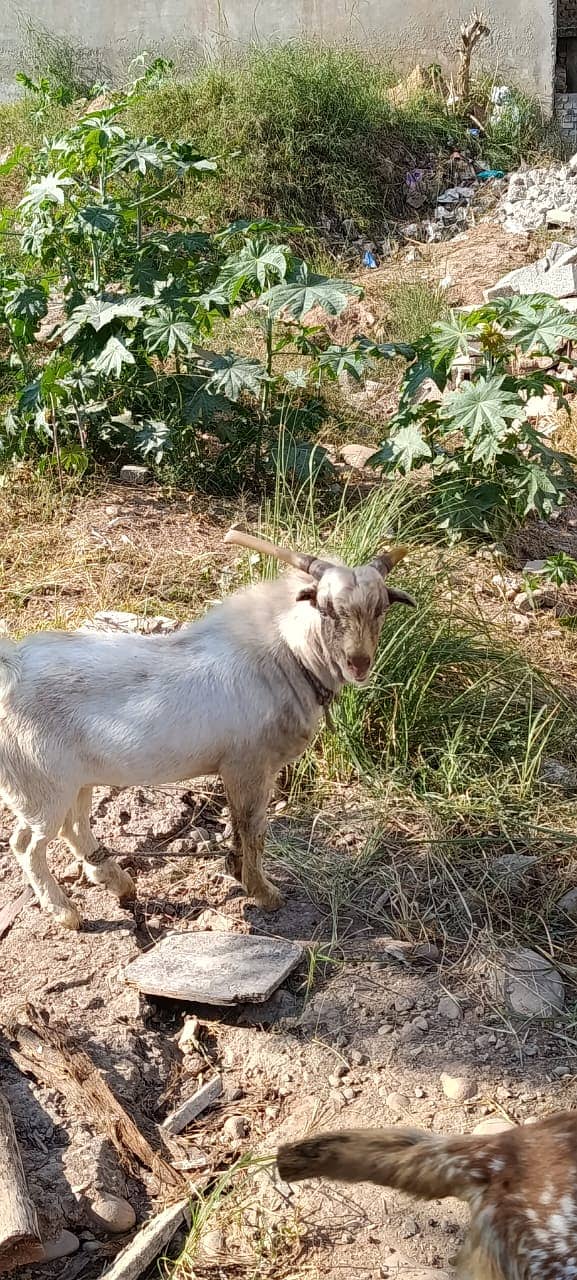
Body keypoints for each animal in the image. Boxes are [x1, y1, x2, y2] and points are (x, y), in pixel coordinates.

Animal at [0, 529, 414, 931]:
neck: (288, 656)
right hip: (39, 787)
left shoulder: (239, 769)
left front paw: (236, 870)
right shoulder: (248, 765)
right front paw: (264, 892)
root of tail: (13, 667)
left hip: (74, 780)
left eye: (381, 609)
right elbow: (253, 828)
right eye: (325, 608)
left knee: (73, 826)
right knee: (27, 844)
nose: (359, 663)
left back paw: (118, 883)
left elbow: (240, 826)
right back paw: (65, 913)